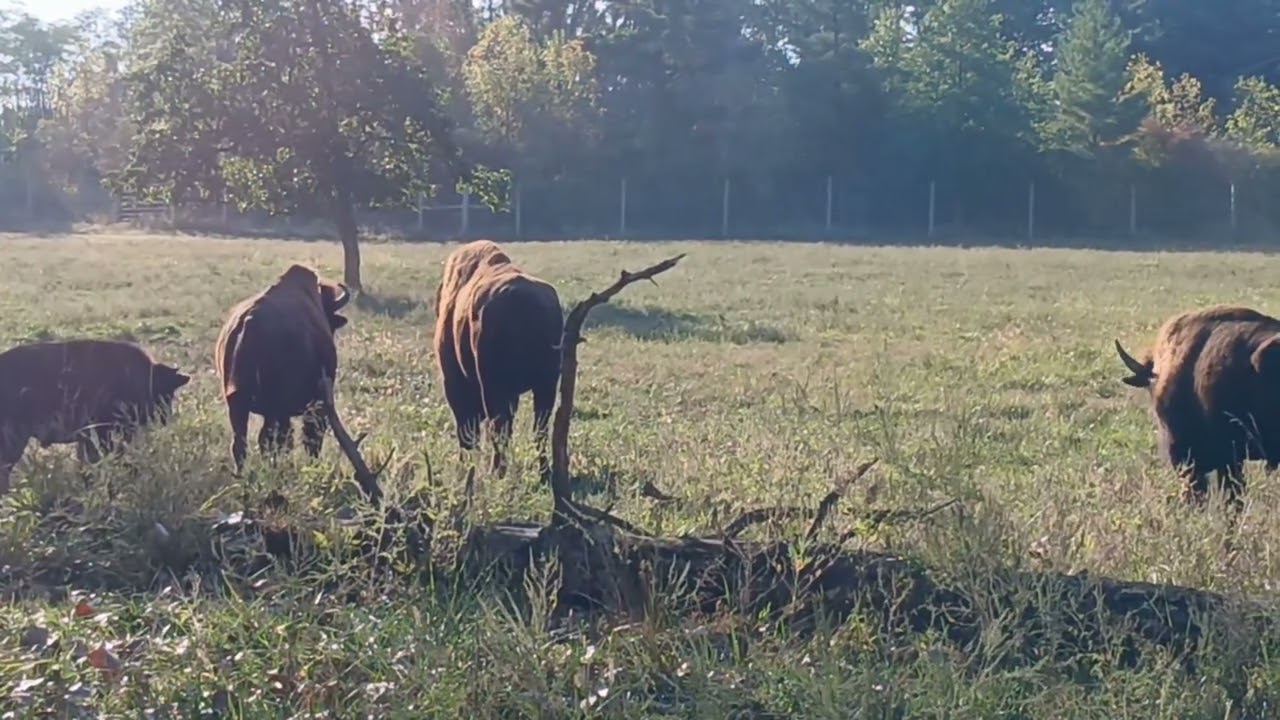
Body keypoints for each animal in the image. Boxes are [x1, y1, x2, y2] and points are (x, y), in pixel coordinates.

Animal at [433, 240, 563, 479]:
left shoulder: (454, 382)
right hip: (546, 385)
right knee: (539, 428)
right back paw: (543, 472)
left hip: (496, 388)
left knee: (499, 428)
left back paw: (496, 472)